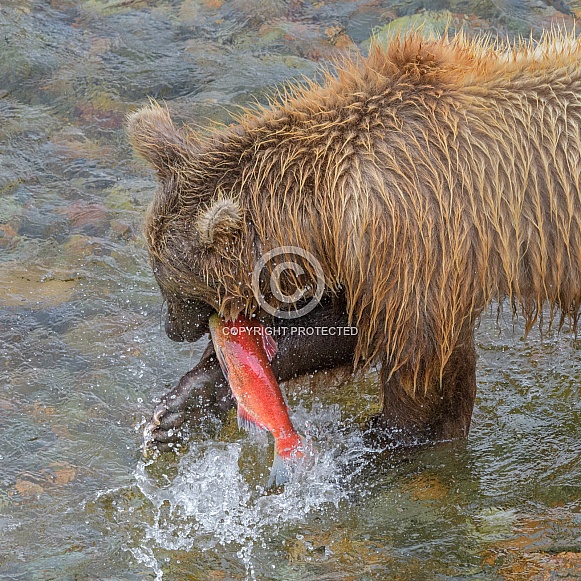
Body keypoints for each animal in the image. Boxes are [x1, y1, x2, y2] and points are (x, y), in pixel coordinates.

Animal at [129, 30, 580, 448]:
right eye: (157, 268)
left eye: (171, 282)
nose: (171, 329)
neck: (324, 204)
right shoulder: (380, 255)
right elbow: (345, 326)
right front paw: (179, 406)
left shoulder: (411, 235)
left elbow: (419, 361)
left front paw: (386, 437)